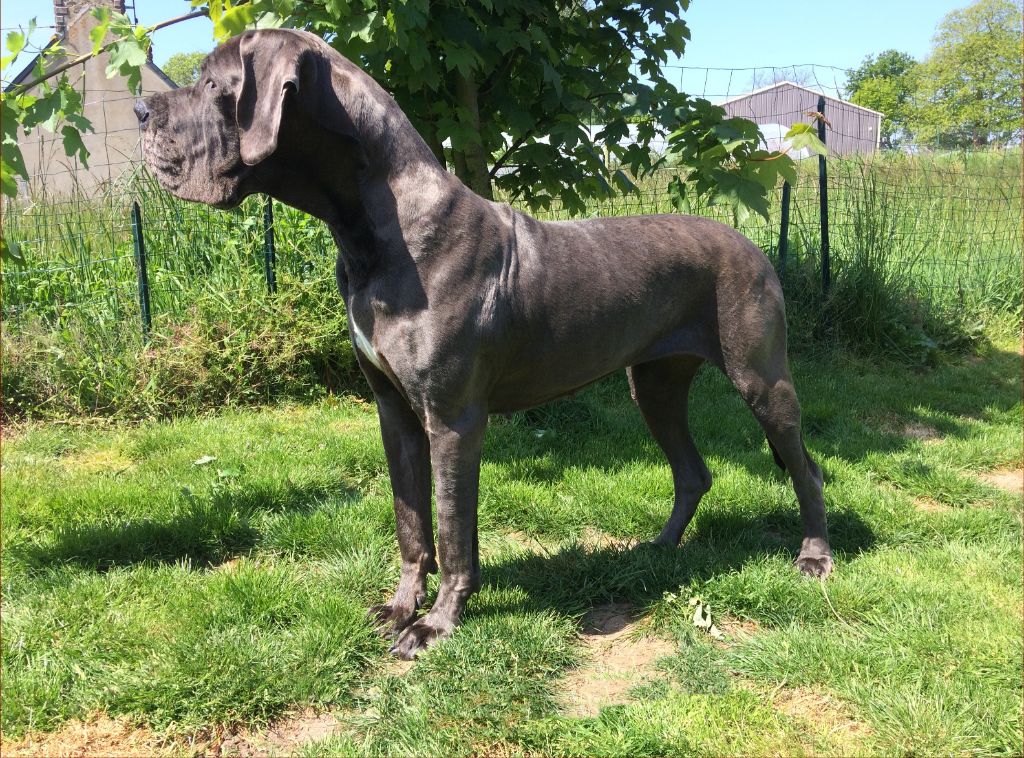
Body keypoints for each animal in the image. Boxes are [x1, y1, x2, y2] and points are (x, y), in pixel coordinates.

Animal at [136, 28, 831, 655]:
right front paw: (401, 606)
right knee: (692, 471)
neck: (375, 230)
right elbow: (412, 522)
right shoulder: (394, 411)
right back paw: (658, 548)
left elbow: (450, 528)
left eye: (210, 83)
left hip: (761, 378)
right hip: (655, 385)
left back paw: (815, 555)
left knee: (806, 466)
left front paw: (436, 625)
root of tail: (752, 244)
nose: (141, 111)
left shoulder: (453, 418)